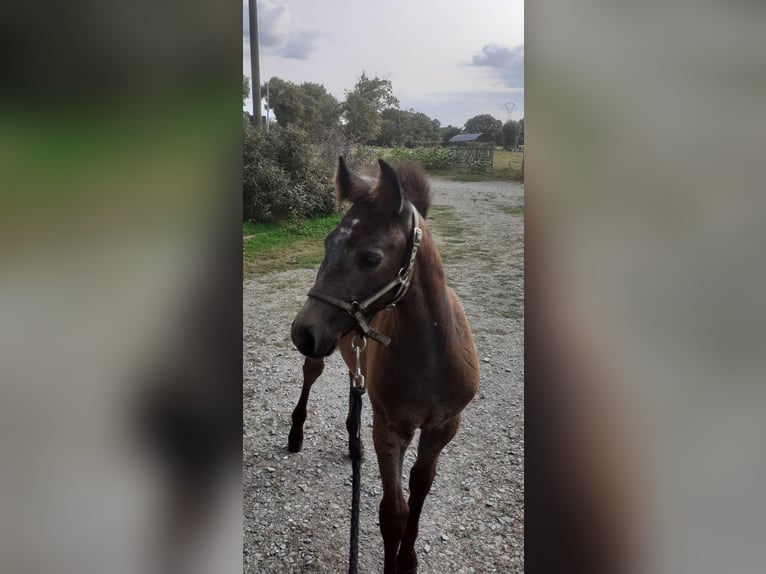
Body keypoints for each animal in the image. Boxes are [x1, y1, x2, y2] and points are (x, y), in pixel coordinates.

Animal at [290, 159, 480, 574]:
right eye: (327, 243)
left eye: (370, 258)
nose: (302, 333)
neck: (430, 358)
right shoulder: (390, 429)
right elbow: (393, 512)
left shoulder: (443, 427)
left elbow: (421, 489)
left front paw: (407, 560)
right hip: (322, 357)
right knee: (311, 377)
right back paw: (296, 435)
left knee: (353, 384)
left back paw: (353, 443)